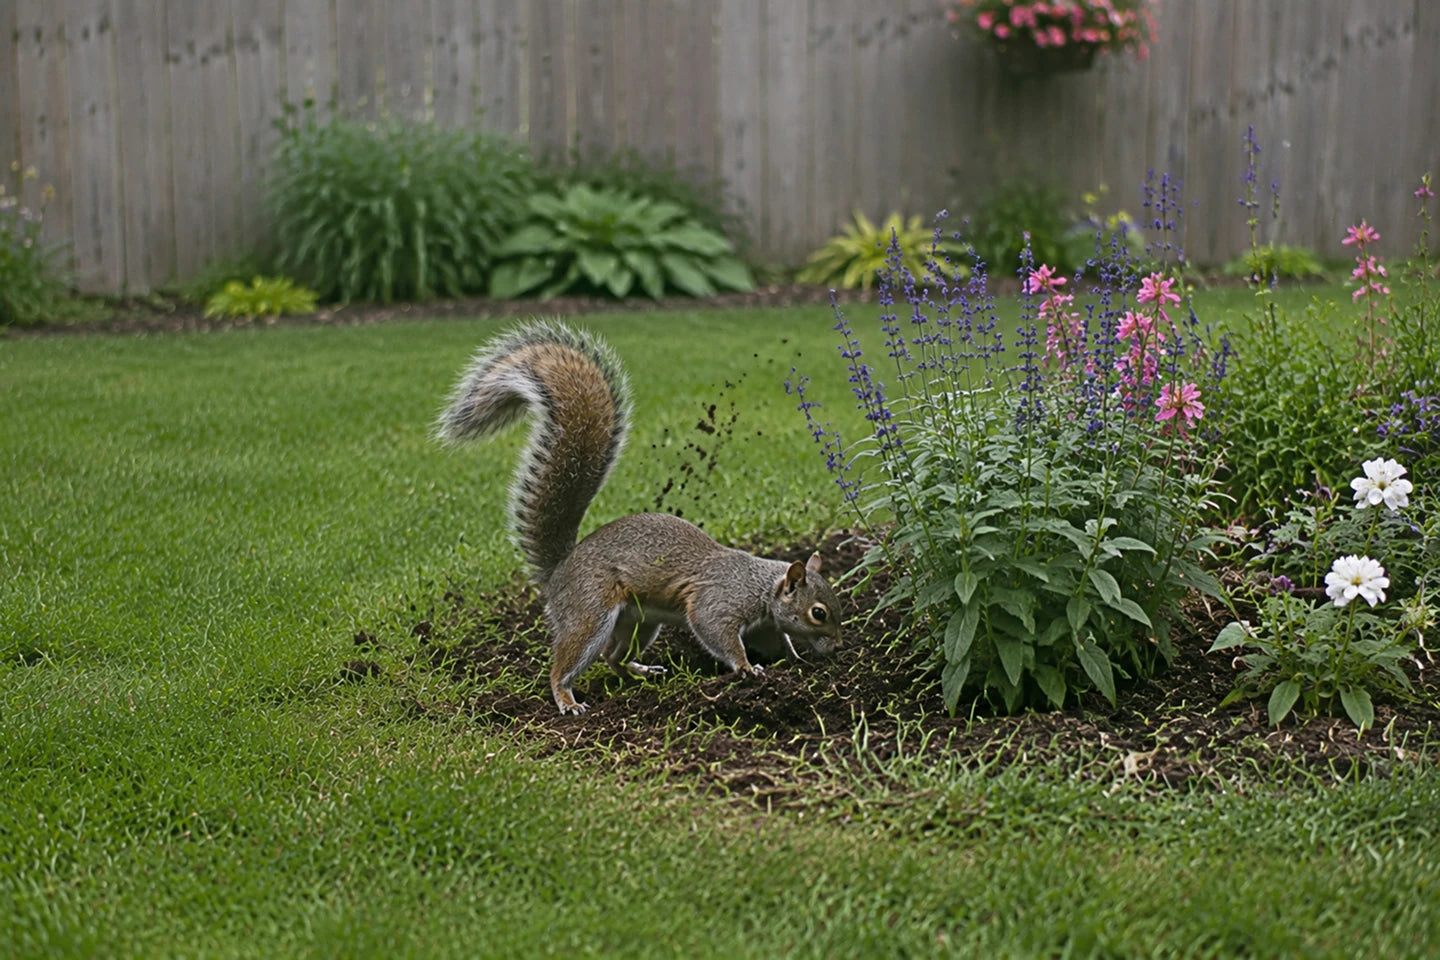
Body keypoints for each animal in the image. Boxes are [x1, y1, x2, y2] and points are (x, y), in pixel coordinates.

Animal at [436, 319, 842, 715]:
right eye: (819, 613)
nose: (837, 647)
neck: (762, 587)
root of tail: (560, 570)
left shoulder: (764, 625)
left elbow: (777, 644)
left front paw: (794, 661)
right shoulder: (718, 602)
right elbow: (717, 632)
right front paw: (746, 668)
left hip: (640, 623)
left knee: (612, 657)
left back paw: (642, 673)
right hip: (591, 612)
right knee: (569, 660)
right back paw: (567, 699)